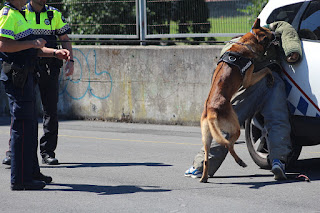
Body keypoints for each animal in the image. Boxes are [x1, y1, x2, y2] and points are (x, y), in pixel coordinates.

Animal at [200, 17, 276, 183]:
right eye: (268, 34)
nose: (275, 33)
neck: (247, 42)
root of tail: (211, 110)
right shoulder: (249, 78)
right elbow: (267, 69)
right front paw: (271, 74)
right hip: (234, 128)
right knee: (228, 145)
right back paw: (240, 161)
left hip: (206, 137)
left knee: (207, 157)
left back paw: (204, 177)